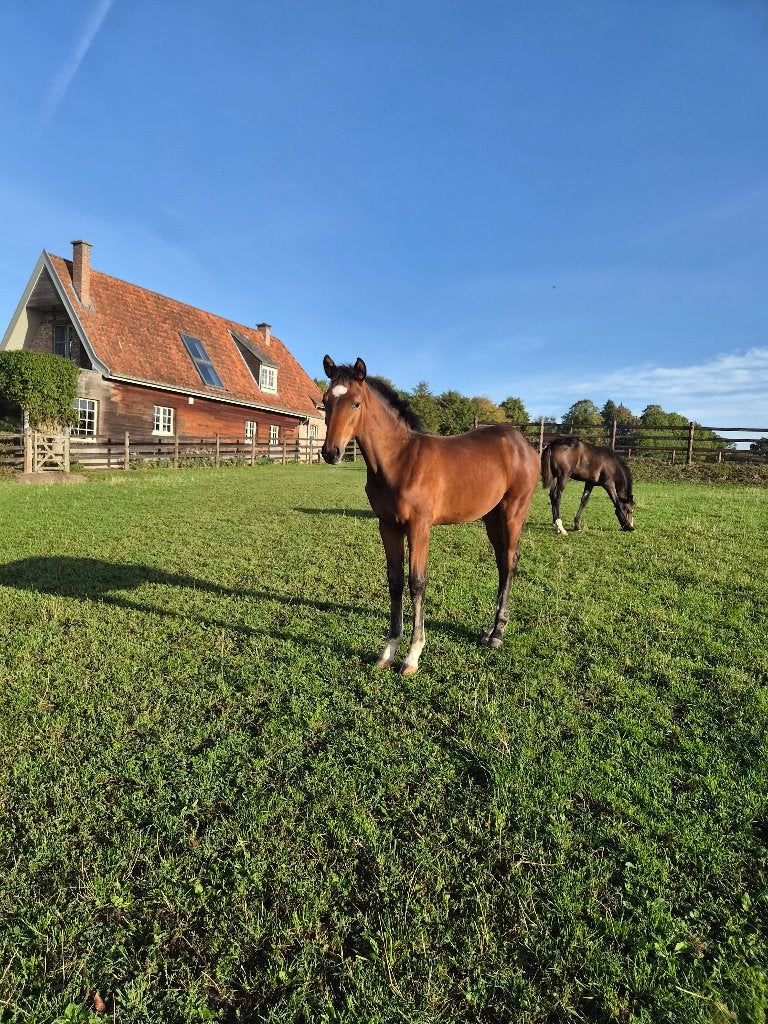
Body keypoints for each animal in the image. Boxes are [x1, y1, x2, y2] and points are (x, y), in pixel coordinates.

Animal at [321, 356, 540, 675]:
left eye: (356, 403)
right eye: (325, 401)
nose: (331, 452)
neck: (399, 460)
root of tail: (523, 443)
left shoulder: (419, 526)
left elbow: (417, 583)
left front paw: (413, 655)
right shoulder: (387, 526)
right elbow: (395, 582)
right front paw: (388, 652)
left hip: (514, 511)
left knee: (510, 561)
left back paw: (498, 634)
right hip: (491, 516)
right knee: (502, 562)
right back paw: (490, 630)